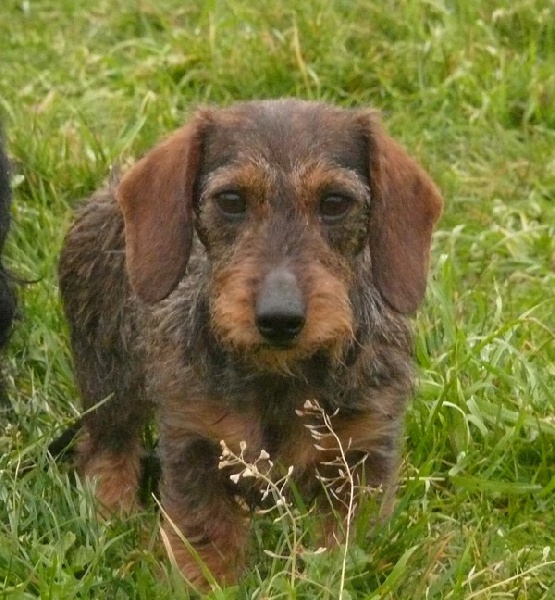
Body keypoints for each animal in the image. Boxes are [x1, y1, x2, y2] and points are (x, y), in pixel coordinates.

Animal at [58, 99, 443, 588]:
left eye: (335, 202)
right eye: (231, 201)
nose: (280, 319)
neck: (279, 378)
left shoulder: (361, 451)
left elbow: (348, 542)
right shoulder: (197, 440)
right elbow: (203, 532)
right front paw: (202, 582)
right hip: (107, 376)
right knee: (107, 445)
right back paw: (113, 512)